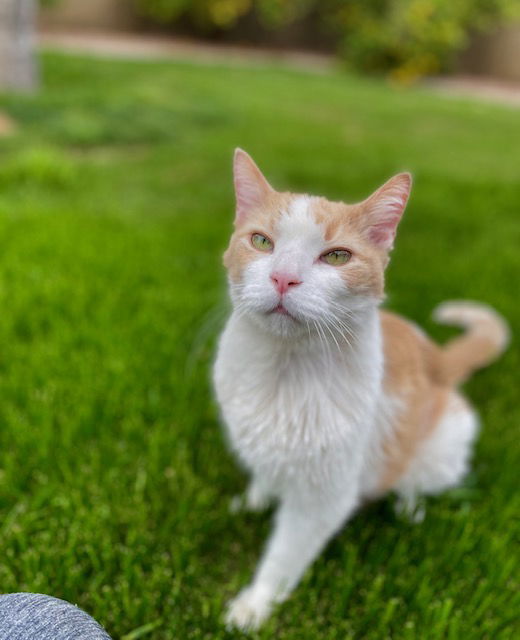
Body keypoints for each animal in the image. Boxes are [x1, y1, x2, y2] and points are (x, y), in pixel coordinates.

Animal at [213, 149, 510, 632]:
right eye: (261, 242)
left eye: (336, 256)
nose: (283, 278)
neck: (283, 370)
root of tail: (436, 357)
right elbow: (263, 472)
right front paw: (255, 499)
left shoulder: (324, 497)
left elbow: (283, 558)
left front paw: (254, 606)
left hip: (446, 438)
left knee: (418, 481)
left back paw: (409, 507)